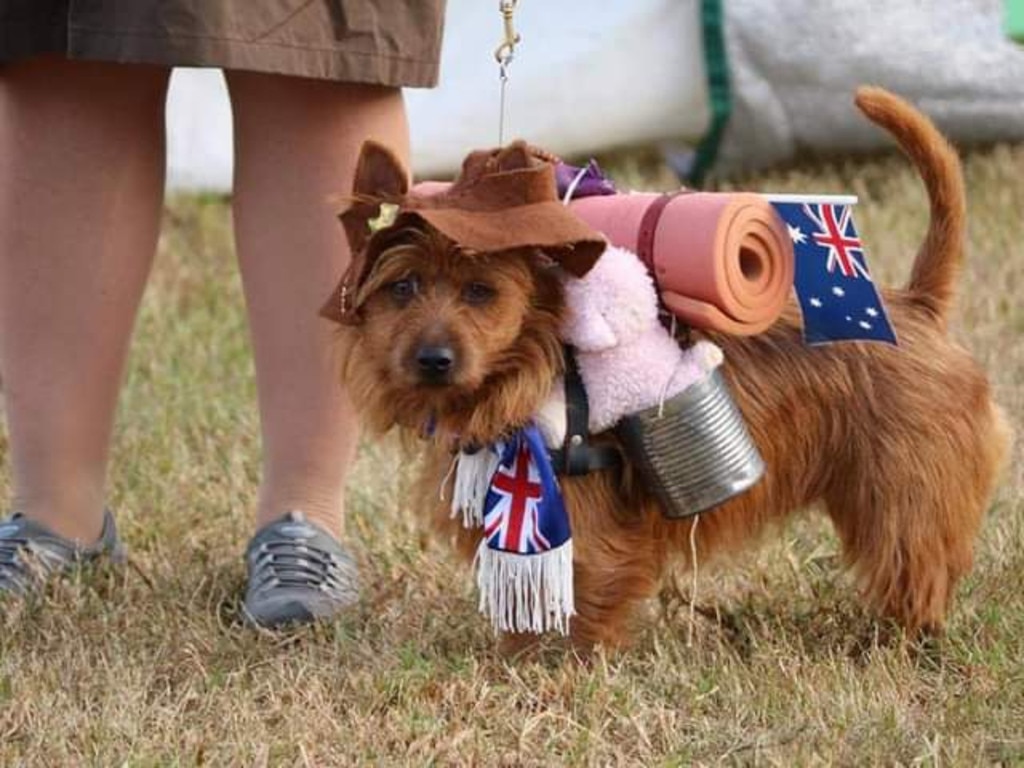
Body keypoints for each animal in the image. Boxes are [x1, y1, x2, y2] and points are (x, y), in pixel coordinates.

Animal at [325, 87, 1007, 651]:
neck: (523, 373)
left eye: (480, 291)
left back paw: (901, 643)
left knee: (917, 568)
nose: (433, 359)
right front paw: (515, 661)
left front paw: (561, 672)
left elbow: (586, 600)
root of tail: (915, 304)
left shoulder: (589, 532)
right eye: (403, 287)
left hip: (904, 498)